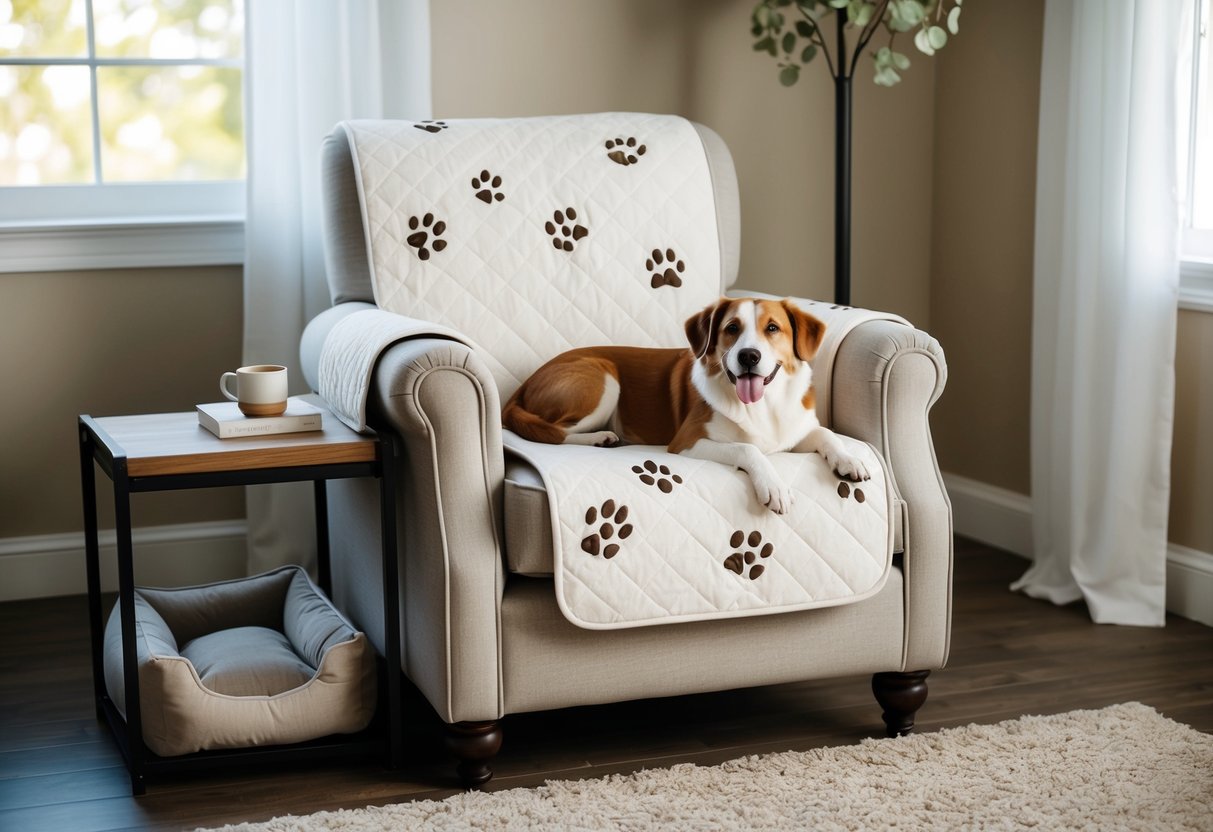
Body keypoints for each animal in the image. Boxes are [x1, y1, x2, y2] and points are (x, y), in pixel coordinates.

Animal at [502, 297, 873, 511]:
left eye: (772, 328)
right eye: (732, 328)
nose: (748, 356)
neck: (763, 406)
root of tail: (522, 386)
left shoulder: (794, 433)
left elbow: (825, 434)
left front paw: (849, 460)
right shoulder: (687, 441)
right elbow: (747, 448)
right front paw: (773, 485)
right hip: (603, 378)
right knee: (554, 431)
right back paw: (599, 438)